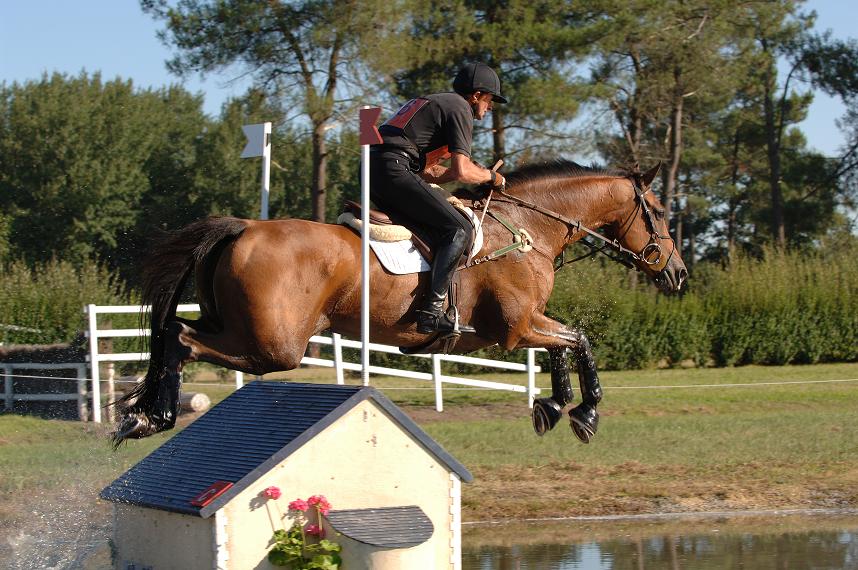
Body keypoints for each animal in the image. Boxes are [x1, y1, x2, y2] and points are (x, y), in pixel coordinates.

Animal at [113, 159, 684, 444]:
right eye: (658, 211)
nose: (677, 273)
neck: (528, 228)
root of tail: (244, 227)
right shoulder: (516, 327)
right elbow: (577, 340)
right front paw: (584, 412)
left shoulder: (526, 324)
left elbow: (566, 345)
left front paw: (552, 406)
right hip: (272, 345)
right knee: (181, 339)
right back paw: (154, 417)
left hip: (235, 324)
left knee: (173, 333)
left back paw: (143, 417)